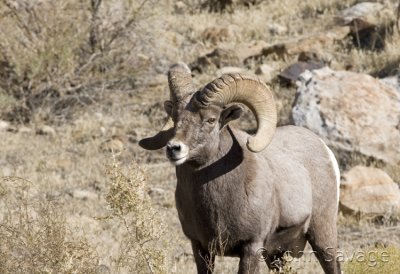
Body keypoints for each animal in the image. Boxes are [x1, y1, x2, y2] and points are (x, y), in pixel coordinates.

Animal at [138, 63, 340, 272]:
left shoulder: (251, 247)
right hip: (277, 255)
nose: (174, 148)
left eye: (211, 120)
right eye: (175, 117)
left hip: (322, 236)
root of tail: (324, 148)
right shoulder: (200, 247)